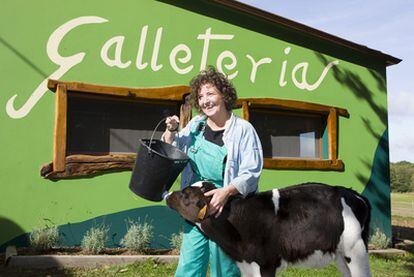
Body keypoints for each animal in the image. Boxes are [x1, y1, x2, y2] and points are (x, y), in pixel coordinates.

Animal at [165, 181, 372, 276]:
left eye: (185, 195)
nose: (167, 194)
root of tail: (354, 194)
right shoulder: (247, 265)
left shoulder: (266, 264)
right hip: (341, 256)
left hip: (355, 250)